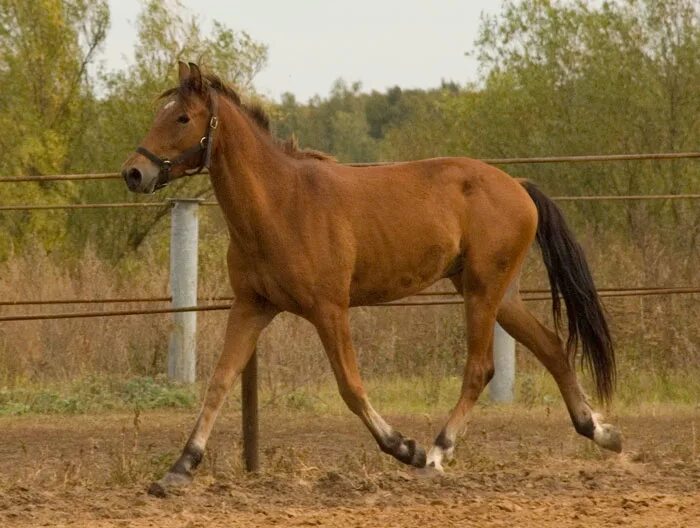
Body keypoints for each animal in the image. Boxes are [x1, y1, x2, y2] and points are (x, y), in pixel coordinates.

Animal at [121, 62, 624, 496]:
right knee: (552, 347)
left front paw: (404, 447)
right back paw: (601, 432)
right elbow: (219, 382)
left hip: (483, 293)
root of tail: (519, 187)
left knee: (480, 368)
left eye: (182, 117)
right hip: (496, 294)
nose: (134, 172)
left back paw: (437, 453)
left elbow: (350, 386)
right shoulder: (252, 305)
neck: (281, 205)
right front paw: (178, 469)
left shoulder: (329, 310)